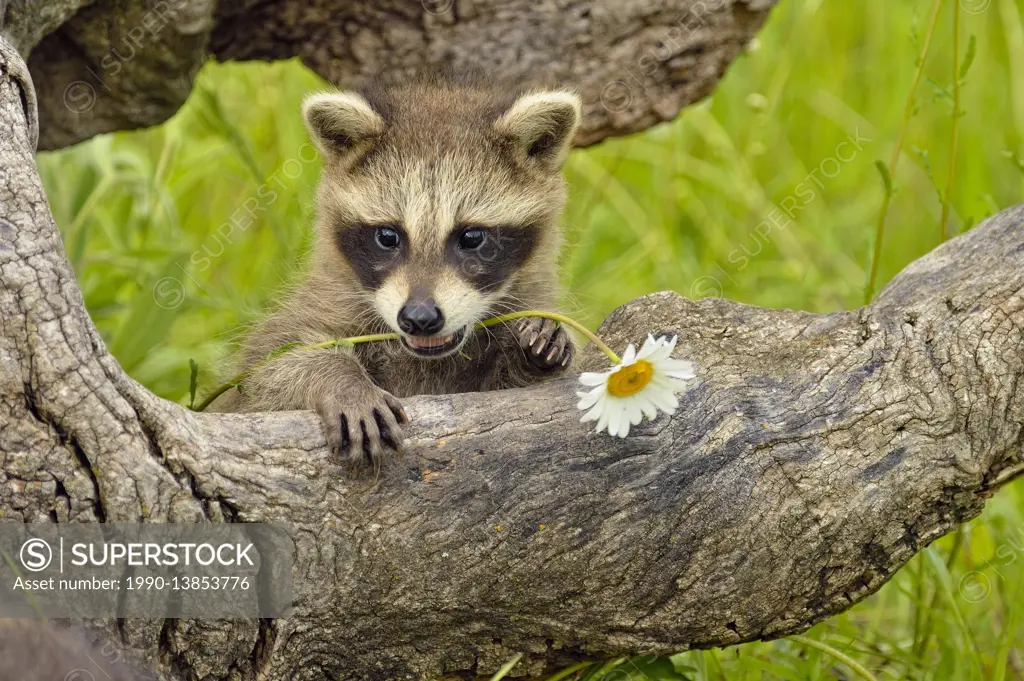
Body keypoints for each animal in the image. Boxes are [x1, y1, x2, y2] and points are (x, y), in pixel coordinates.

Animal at [216, 71, 581, 471]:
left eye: (471, 237)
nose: (420, 318)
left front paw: (541, 342)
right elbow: (267, 370)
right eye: (388, 236)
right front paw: (341, 380)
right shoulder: (320, 305)